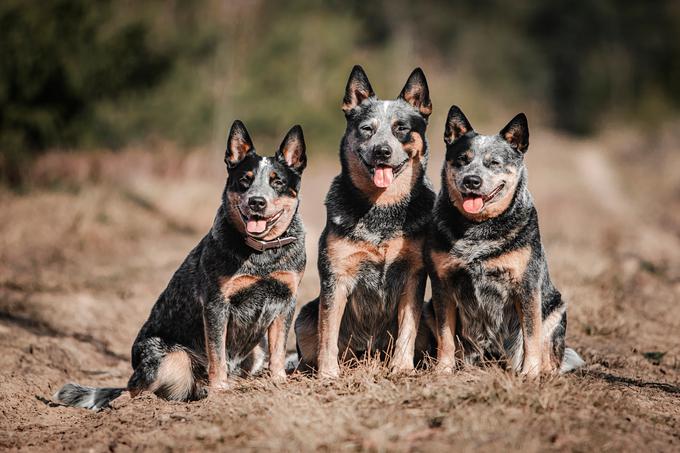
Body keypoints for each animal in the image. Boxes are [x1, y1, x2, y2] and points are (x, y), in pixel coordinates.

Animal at [53, 118, 308, 408]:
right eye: (245, 180)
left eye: (277, 182)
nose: (256, 201)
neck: (262, 253)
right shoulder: (217, 304)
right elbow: (217, 355)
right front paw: (220, 391)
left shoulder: (286, 301)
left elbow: (279, 350)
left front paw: (278, 383)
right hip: (168, 356)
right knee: (132, 390)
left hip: (256, 351)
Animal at [296, 65, 436, 376]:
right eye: (366, 129)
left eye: (401, 128)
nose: (382, 151)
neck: (381, 210)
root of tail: (368, 353)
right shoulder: (336, 278)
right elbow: (328, 333)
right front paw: (328, 374)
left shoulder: (413, 276)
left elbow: (407, 328)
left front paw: (402, 367)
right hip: (304, 316)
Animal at [424, 106, 584, 374]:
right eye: (462, 159)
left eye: (494, 163)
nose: (472, 180)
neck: (478, 229)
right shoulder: (442, 284)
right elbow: (445, 336)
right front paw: (442, 371)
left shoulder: (526, 286)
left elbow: (531, 336)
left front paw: (530, 374)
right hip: (428, 309)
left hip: (556, 308)